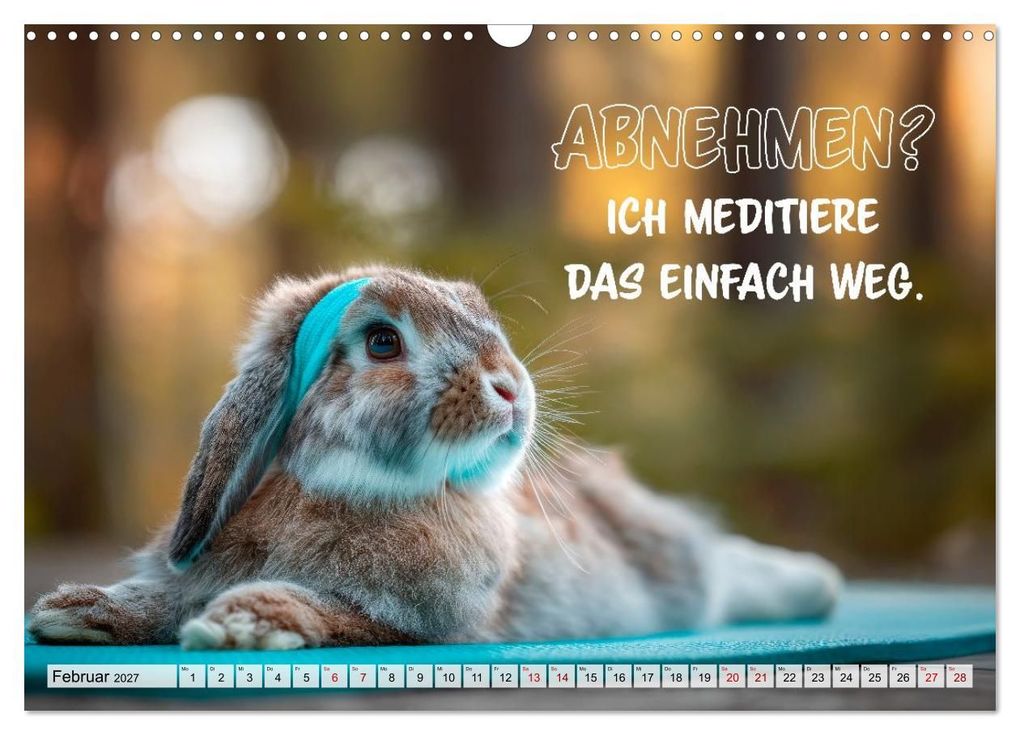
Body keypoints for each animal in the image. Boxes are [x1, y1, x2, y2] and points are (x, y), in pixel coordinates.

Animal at [28, 265, 841, 649]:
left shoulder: (432, 623)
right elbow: (166, 597)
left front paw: (245, 622)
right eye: (383, 342)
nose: (512, 386)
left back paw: (819, 582)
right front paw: (81, 612)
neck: (353, 486)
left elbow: (341, 613)